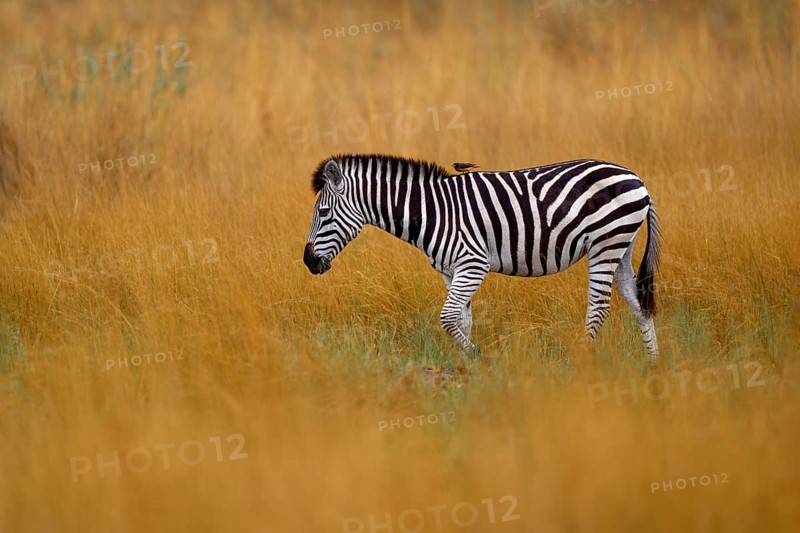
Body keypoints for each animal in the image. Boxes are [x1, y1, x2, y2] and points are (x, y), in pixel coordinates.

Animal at [303, 154, 661, 361]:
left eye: (323, 213)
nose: (307, 262)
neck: (433, 211)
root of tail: (637, 179)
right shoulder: (452, 271)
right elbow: (461, 320)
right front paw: (465, 374)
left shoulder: (473, 264)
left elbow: (448, 318)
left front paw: (479, 360)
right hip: (620, 245)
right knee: (638, 303)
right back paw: (653, 367)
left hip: (605, 242)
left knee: (599, 309)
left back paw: (580, 364)